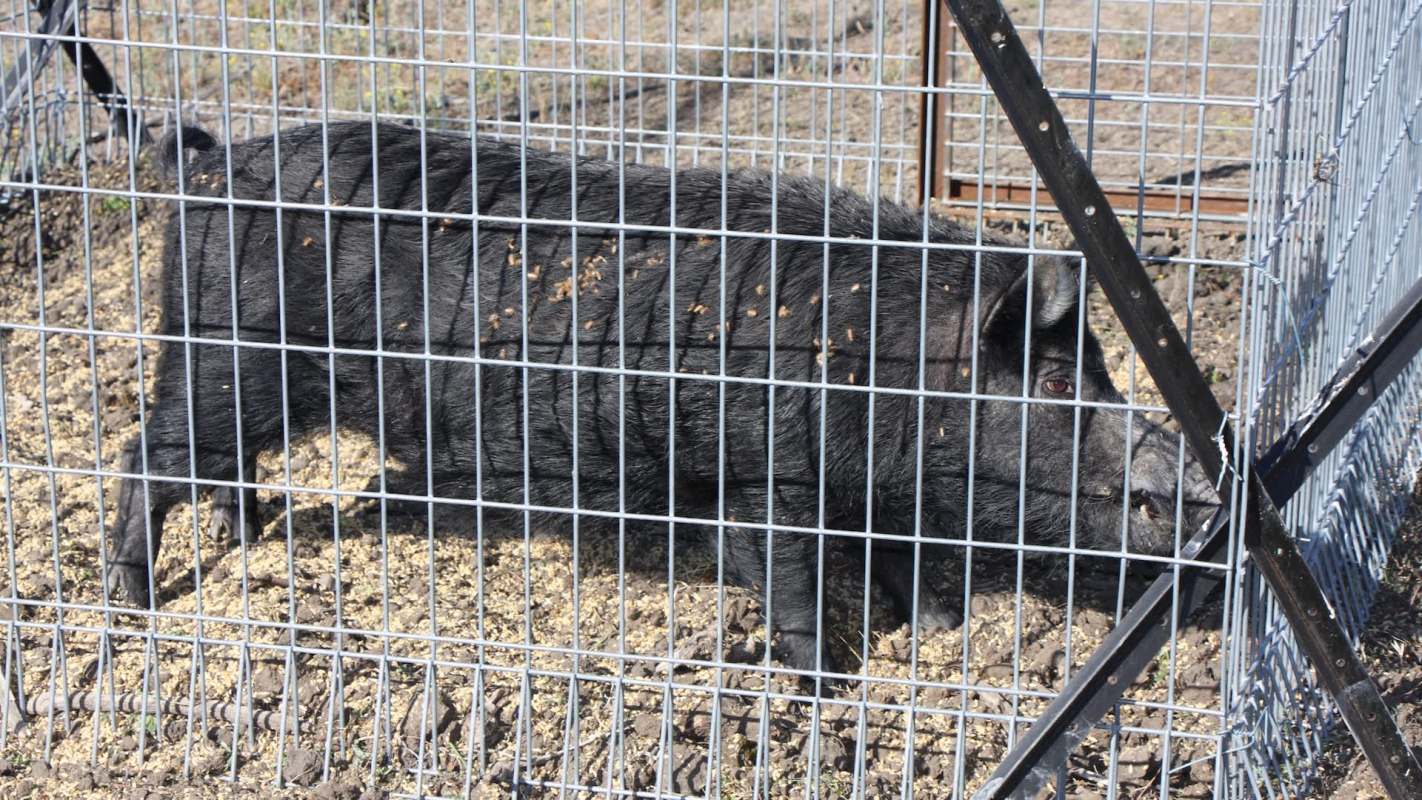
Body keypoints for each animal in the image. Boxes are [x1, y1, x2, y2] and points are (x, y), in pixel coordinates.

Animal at [108, 121, 1215, 674]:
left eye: (1103, 372)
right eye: (1062, 381)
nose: (1199, 483)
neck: (887, 364)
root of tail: (209, 162)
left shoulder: (876, 490)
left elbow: (898, 565)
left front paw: (935, 634)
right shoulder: (765, 477)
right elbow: (794, 580)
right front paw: (826, 683)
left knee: (216, 466)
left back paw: (253, 535)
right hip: (228, 357)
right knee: (143, 455)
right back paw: (137, 602)